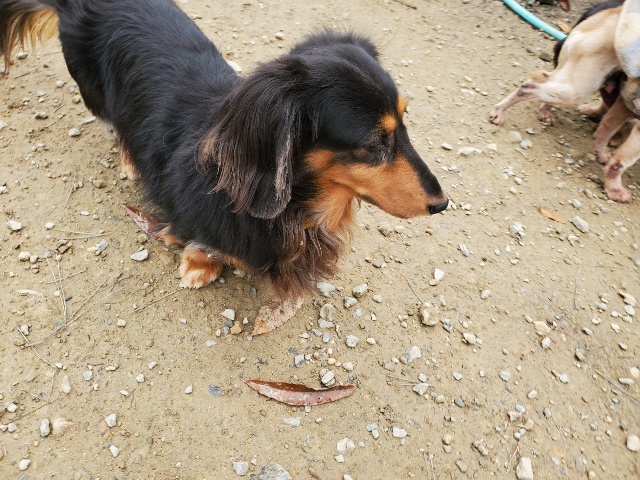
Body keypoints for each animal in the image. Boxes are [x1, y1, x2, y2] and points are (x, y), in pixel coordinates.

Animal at [0, 0, 448, 329]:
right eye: (373, 142)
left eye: (405, 123)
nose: (442, 204)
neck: (295, 208)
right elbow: (202, 241)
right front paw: (200, 265)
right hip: (93, 89)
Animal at [490, 0, 640, 202]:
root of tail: (610, 13)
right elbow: (622, 161)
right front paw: (614, 189)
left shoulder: (627, 104)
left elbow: (608, 135)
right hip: (580, 86)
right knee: (529, 86)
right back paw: (499, 111)